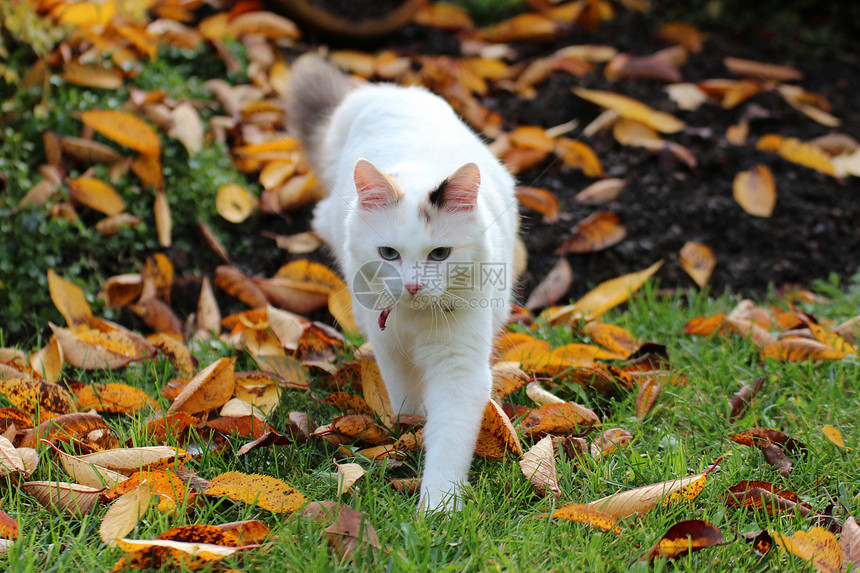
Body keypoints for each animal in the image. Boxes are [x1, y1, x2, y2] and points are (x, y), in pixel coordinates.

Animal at [288, 53, 516, 510]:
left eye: (439, 255)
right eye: (389, 254)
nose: (412, 286)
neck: (414, 320)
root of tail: (379, 91)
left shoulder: (459, 368)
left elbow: (447, 443)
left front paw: (439, 510)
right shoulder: (390, 350)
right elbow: (408, 402)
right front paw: (408, 434)